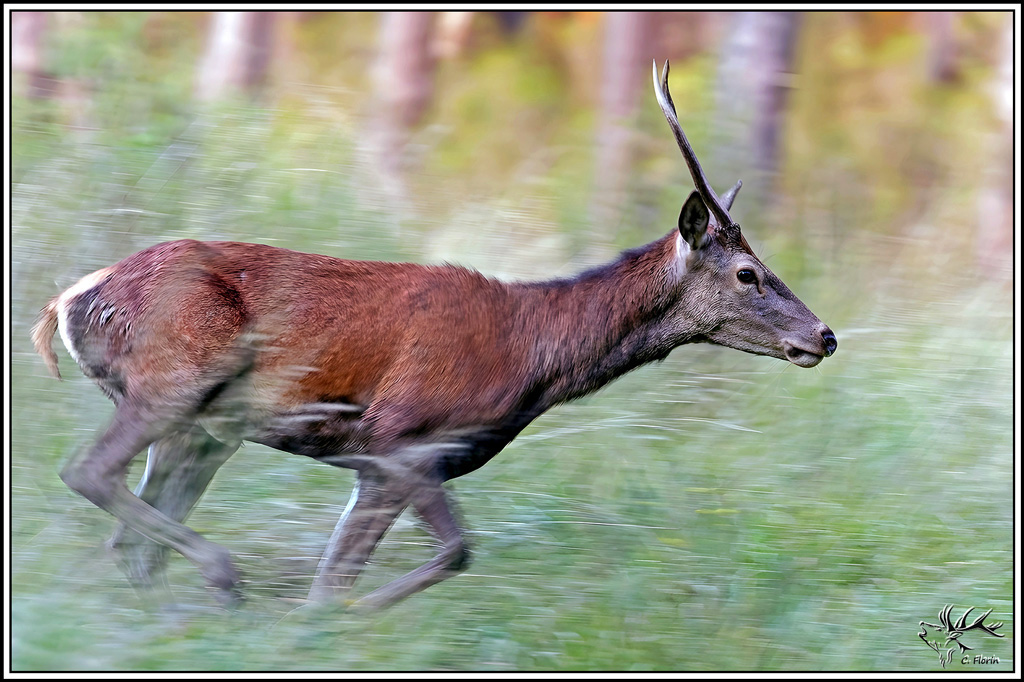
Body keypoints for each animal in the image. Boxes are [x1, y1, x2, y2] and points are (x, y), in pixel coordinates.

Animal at [31, 61, 836, 610]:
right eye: (748, 273)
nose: (825, 336)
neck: (534, 355)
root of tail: (70, 300)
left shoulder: (389, 462)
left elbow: (359, 569)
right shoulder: (400, 435)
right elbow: (441, 557)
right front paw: (321, 623)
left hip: (205, 429)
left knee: (133, 539)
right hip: (177, 376)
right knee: (88, 472)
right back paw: (225, 578)